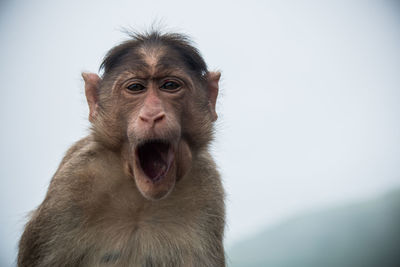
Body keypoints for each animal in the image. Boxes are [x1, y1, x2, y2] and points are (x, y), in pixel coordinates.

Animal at [18, 31, 225, 267]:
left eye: (170, 85)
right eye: (135, 88)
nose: (152, 115)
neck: (140, 200)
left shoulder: (207, 189)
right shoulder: (70, 186)